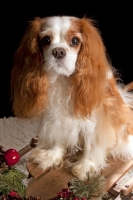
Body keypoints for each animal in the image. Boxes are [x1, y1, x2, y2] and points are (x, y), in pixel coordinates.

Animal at [10, 15, 133, 180]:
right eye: (46, 40)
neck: (62, 80)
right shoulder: (54, 116)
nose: (58, 51)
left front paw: (85, 167)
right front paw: (52, 156)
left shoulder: (93, 122)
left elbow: (90, 144)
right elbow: (57, 136)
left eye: (75, 41)